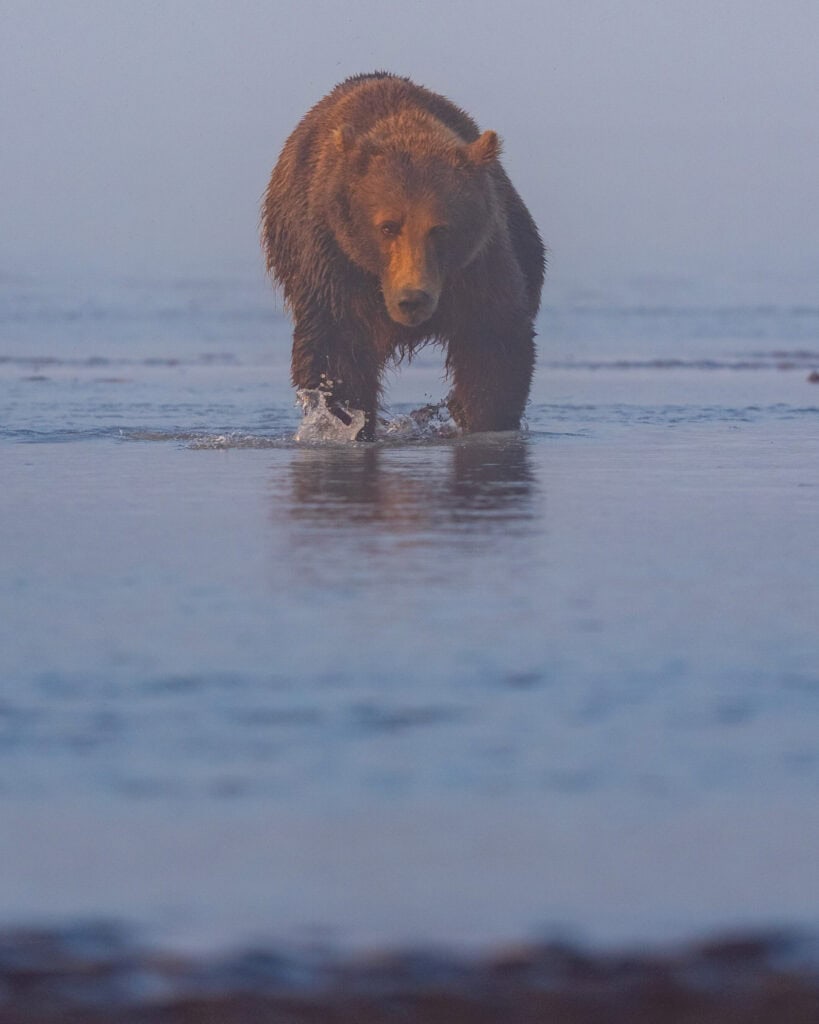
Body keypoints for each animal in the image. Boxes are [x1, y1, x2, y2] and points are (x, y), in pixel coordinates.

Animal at [262, 72, 545, 440]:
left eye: (440, 228)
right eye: (388, 226)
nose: (412, 298)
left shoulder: (478, 264)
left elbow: (492, 342)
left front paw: (484, 419)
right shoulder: (335, 260)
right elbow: (337, 349)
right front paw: (345, 421)